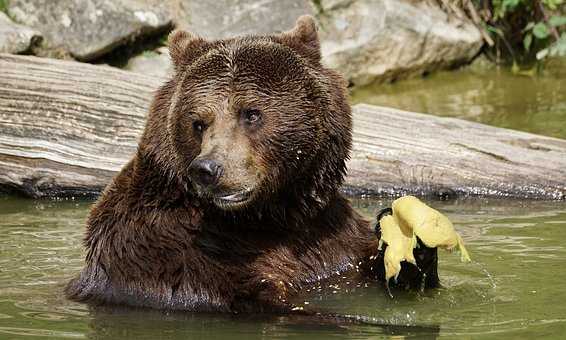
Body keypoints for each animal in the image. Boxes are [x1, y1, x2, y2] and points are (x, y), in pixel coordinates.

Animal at [66, 15, 440, 314]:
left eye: (251, 113)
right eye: (198, 122)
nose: (208, 169)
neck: (271, 215)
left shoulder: (332, 235)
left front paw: (413, 243)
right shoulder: (165, 251)